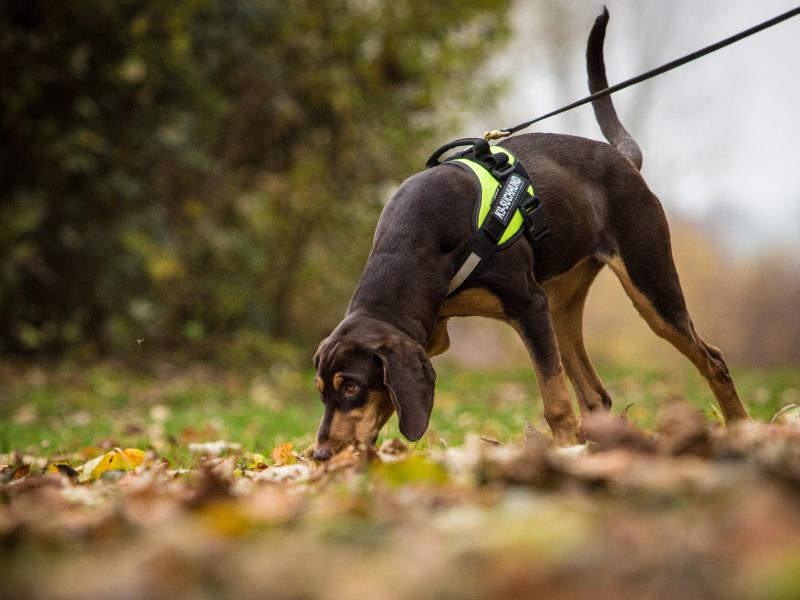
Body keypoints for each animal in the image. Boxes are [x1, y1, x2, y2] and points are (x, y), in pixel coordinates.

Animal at [310, 8, 748, 460]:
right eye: (322, 391)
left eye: (352, 386)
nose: (320, 455)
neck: (416, 243)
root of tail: (624, 160)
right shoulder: (430, 333)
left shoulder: (528, 307)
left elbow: (555, 400)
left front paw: (561, 447)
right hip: (561, 305)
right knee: (596, 396)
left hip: (649, 284)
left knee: (712, 360)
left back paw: (741, 430)